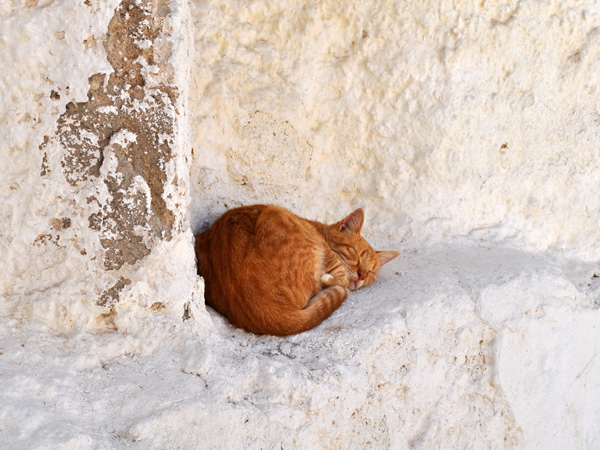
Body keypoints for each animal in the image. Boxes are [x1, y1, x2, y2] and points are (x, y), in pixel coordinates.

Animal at [196, 206, 398, 336]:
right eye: (356, 255)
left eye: (371, 272)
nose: (362, 275)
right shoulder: (328, 252)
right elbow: (342, 278)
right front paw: (334, 279)